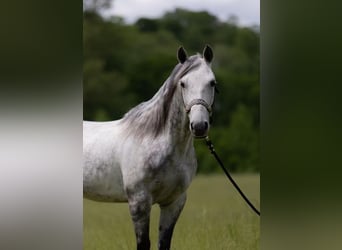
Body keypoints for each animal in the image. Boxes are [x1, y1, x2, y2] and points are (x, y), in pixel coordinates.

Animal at [83, 46, 216, 249]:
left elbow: (164, 243)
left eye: (212, 82)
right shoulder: (139, 201)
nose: (199, 126)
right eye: (183, 84)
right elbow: (143, 243)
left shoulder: (174, 202)